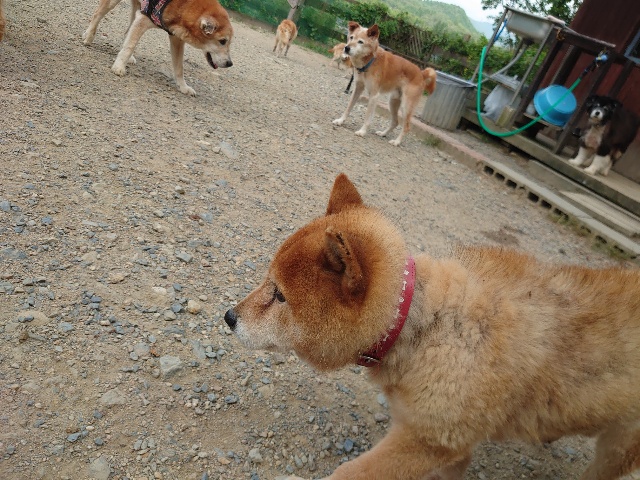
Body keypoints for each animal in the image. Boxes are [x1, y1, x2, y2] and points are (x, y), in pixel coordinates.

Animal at [83, 0, 233, 96]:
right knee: (97, 14)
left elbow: (179, 68)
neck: (185, 7)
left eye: (229, 42)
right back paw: (88, 36)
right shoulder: (143, 19)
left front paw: (183, 87)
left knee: (127, 31)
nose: (230, 63)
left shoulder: (177, 39)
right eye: (222, 41)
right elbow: (129, 46)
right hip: (114, 4)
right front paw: (118, 67)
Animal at [225, 173, 640, 480]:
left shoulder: (428, 440)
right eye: (267, 282)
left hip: (618, 447)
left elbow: (351, 472)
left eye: (280, 296)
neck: (420, 325)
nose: (229, 316)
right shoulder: (451, 445)